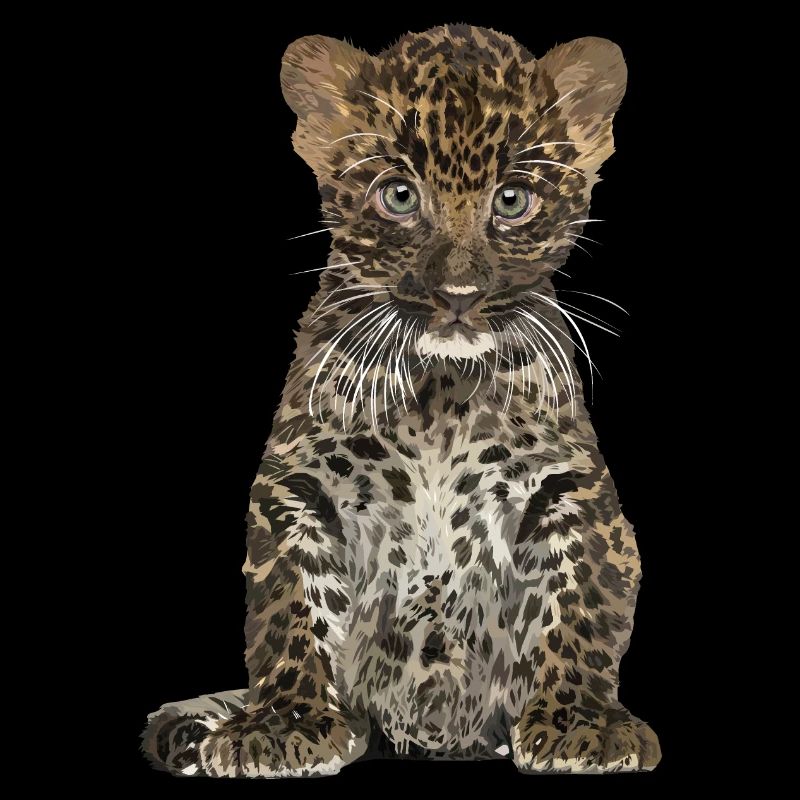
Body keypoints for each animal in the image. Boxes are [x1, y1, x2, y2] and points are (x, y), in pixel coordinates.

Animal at [142, 23, 661, 777]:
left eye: (512, 200)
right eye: (398, 196)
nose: (458, 294)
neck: (440, 391)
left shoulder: (569, 487)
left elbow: (581, 600)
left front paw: (581, 724)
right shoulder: (298, 484)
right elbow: (290, 603)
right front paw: (283, 724)